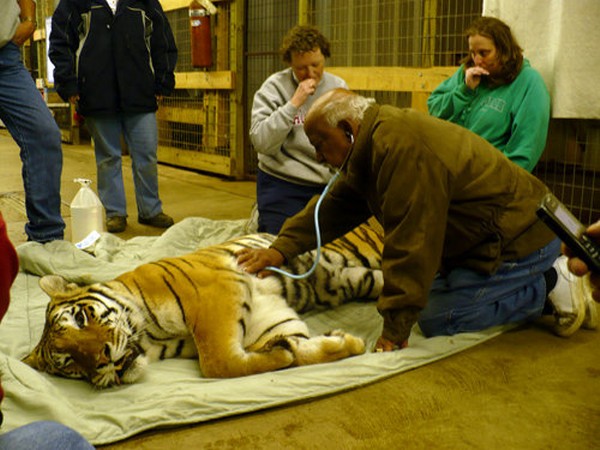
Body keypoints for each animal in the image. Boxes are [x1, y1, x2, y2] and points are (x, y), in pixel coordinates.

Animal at [23, 221, 382, 386]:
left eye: (81, 319)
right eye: (69, 362)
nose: (101, 361)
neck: (152, 338)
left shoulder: (217, 295)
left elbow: (219, 362)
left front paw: (284, 354)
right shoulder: (272, 316)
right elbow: (299, 349)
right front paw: (342, 342)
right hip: (362, 276)